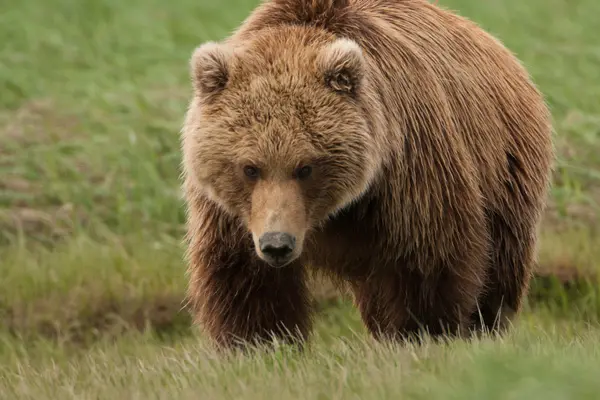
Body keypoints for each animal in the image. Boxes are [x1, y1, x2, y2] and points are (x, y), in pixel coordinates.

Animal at [180, 0, 556, 350]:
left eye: (306, 167)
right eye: (250, 168)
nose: (277, 244)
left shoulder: (407, 167)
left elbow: (425, 256)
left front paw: (420, 332)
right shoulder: (232, 211)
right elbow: (244, 276)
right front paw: (259, 342)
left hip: (503, 168)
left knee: (501, 264)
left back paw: (485, 325)